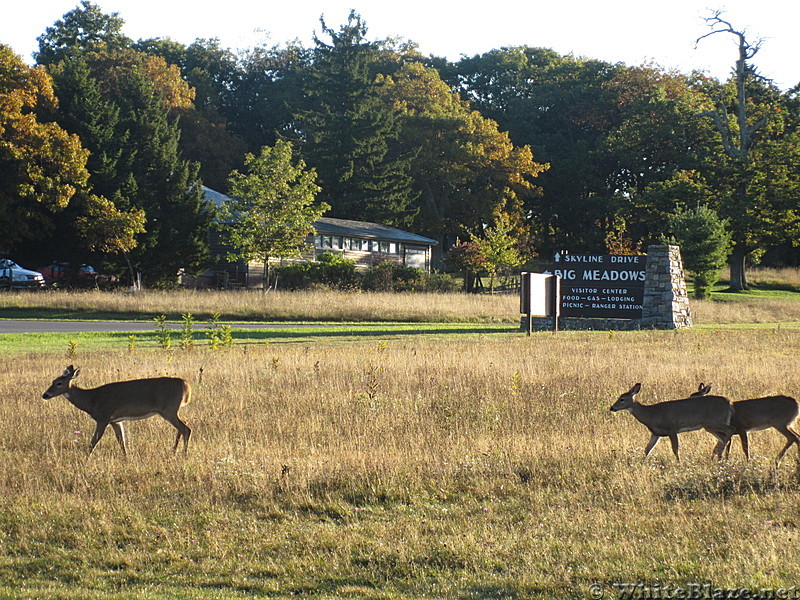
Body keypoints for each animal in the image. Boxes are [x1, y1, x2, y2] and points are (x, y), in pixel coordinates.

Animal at [43, 364, 193, 458]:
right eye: (52, 381)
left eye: (59, 383)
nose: (45, 395)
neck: (91, 400)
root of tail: (186, 384)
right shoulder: (115, 420)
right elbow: (122, 441)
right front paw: (126, 458)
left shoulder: (103, 417)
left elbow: (94, 441)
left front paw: (85, 459)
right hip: (172, 410)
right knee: (184, 424)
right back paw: (173, 451)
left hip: (169, 409)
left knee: (186, 428)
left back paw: (184, 455)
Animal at [608, 382, 736, 462]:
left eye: (622, 399)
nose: (612, 407)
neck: (650, 414)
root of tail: (729, 403)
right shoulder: (655, 433)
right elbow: (647, 449)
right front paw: (642, 463)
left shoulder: (671, 429)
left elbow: (675, 449)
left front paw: (679, 463)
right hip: (711, 425)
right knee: (724, 438)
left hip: (714, 422)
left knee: (730, 431)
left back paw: (720, 455)